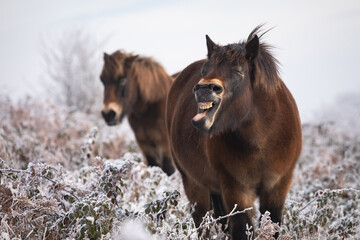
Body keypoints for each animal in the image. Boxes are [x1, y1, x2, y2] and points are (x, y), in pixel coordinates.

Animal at [167, 25, 302, 238]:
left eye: (239, 71)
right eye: (205, 70)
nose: (204, 89)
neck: (262, 140)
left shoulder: (277, 187)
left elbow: (271, 227)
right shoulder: (236, 189)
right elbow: (241, 228)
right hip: (194, 185)